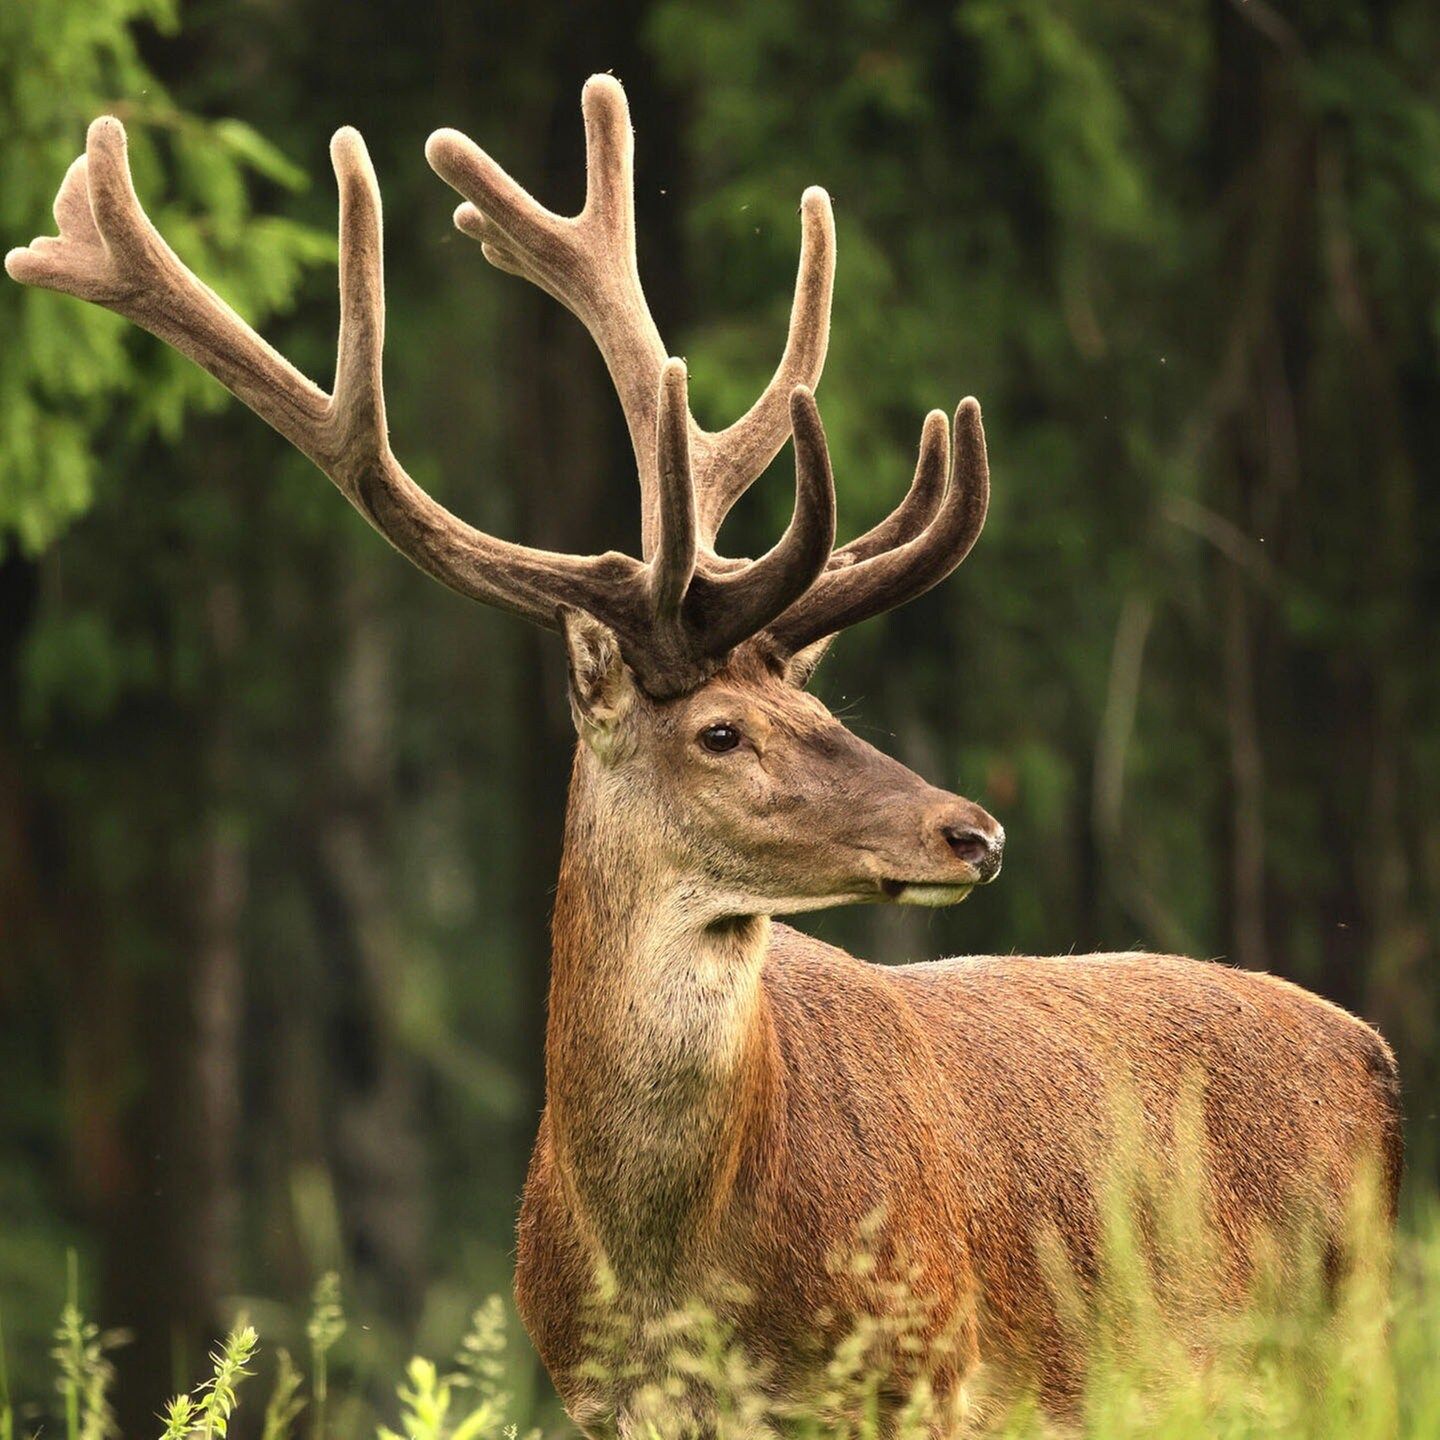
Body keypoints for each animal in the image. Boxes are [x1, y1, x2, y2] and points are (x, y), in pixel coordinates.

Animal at [9, 74, 1403, 1437]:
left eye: (825, 714)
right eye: (721, 731)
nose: (974, 831)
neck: (678, 1278)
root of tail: (1376, 1057)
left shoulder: (930, 1370)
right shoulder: (597, 1397)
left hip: (1334, 1342)